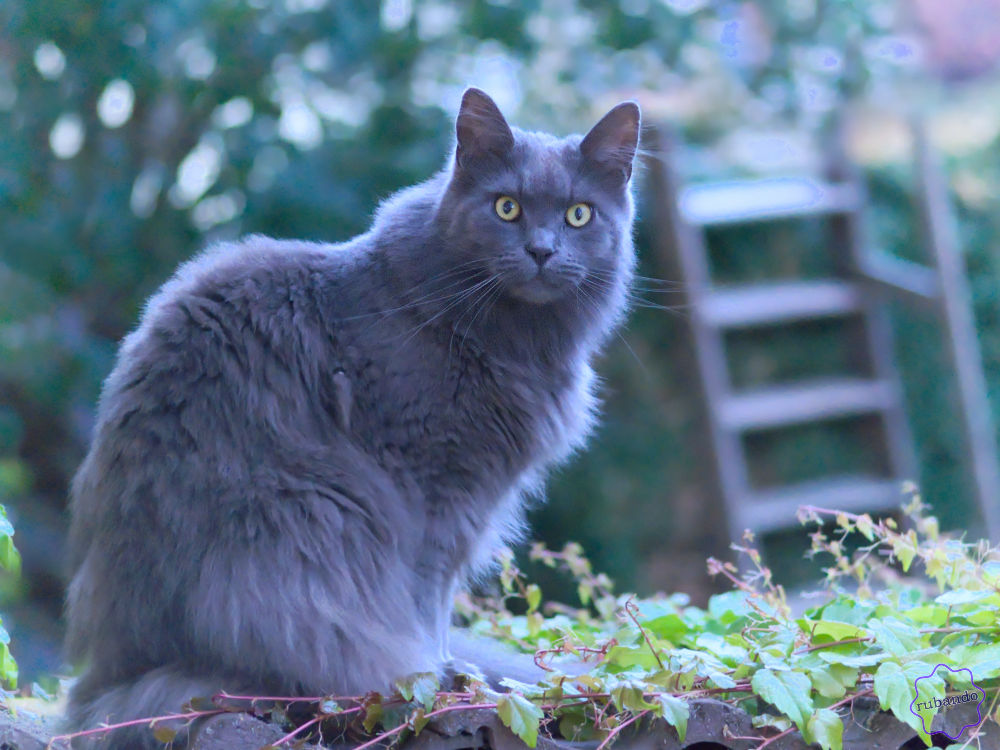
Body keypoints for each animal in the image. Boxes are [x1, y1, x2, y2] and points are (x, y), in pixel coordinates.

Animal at [64, 88, 640, 748]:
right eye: (507, 207)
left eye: (579, 216)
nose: (542, 251)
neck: (513, 339)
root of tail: (107, 680)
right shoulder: (432, 489)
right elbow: (425, 601)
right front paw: (438, 680)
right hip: (310, 513)